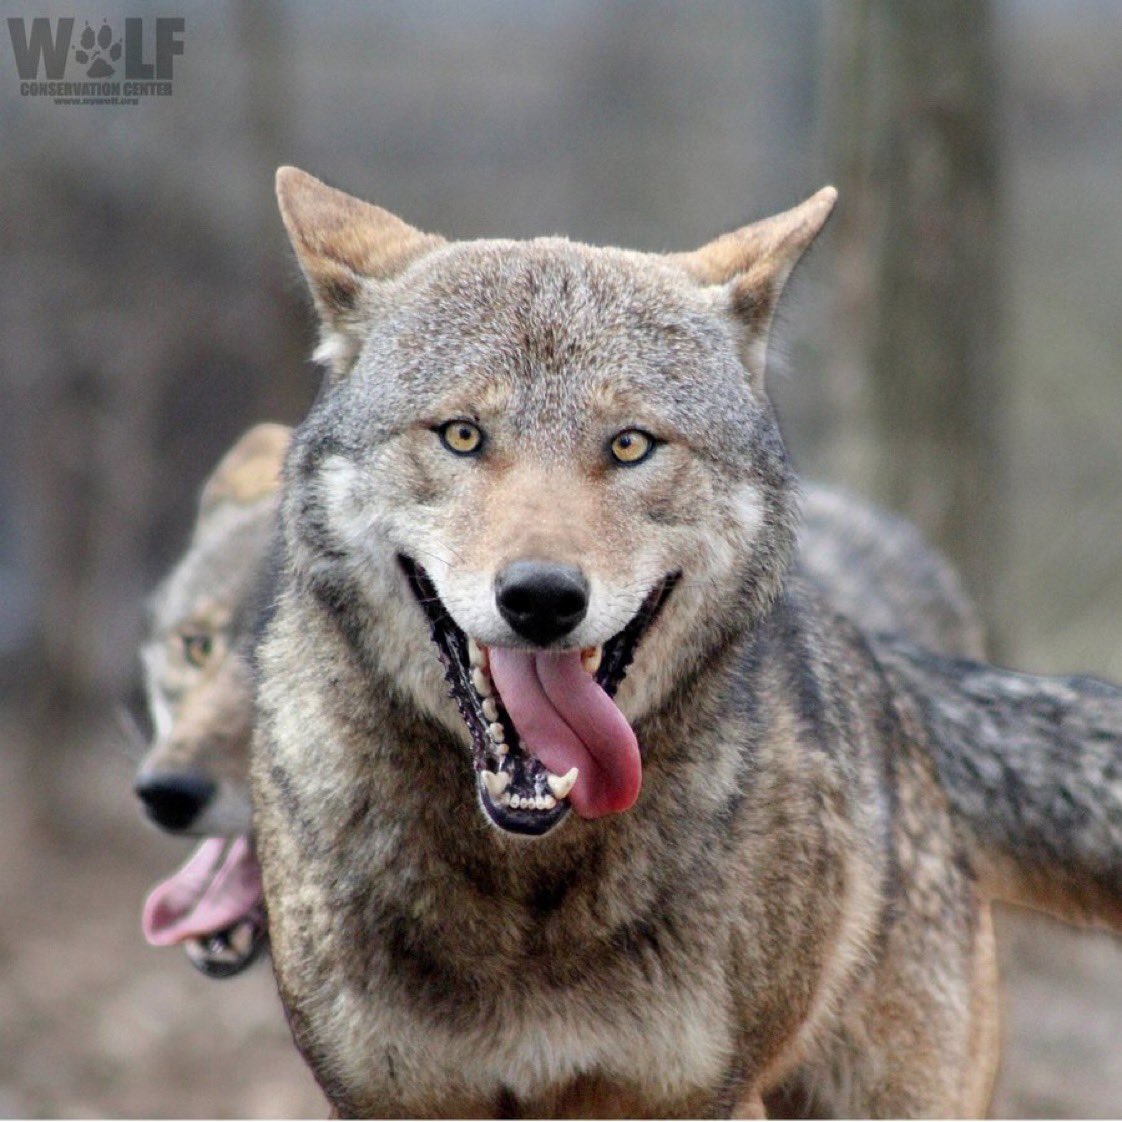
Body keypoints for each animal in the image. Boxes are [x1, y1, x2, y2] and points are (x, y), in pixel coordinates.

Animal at [251, 168, 1122, 1117]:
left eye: (631, 445)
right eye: (462, 435)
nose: (542, 599)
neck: (530, 881)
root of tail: (883, 675)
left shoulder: (696, 1096)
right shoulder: (386, 1099)